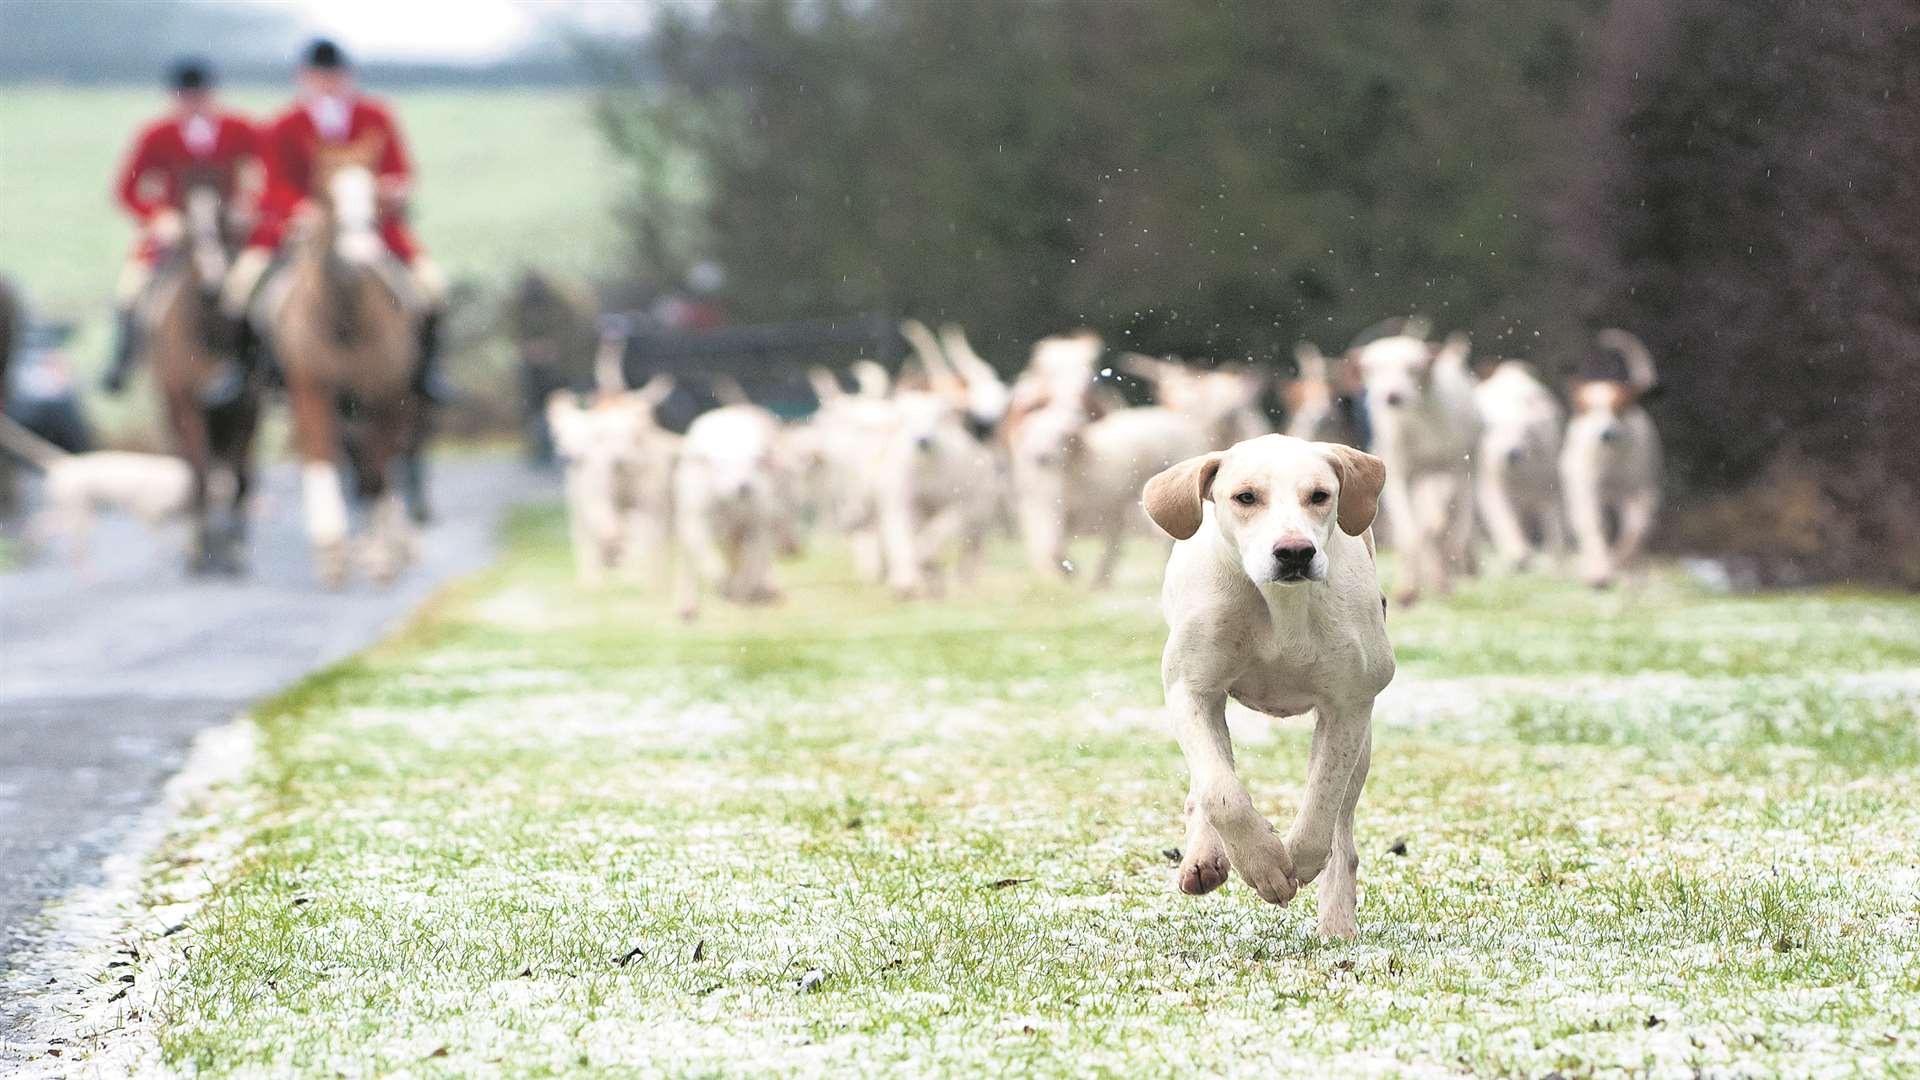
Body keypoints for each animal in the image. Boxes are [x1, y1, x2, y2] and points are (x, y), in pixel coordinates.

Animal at [142, 179, 261, 568]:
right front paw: (202, 549)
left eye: (224, 225)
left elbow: (240, 477)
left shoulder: (246, 409)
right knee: (197, 472)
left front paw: (236, 549)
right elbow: (202, 475)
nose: (213, 287)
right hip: (175, 414)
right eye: (191, 234)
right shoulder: (189, 409)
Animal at [264, 136, 422, 588]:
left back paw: (395, 544)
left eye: (375, 194)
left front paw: (380, 556)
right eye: (324, 194)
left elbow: (376, 475)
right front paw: (332, 550)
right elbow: (322, 461)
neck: (344, 320)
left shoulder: (382, 399)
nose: (361, 252)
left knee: (385, 467)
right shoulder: (311, 393)